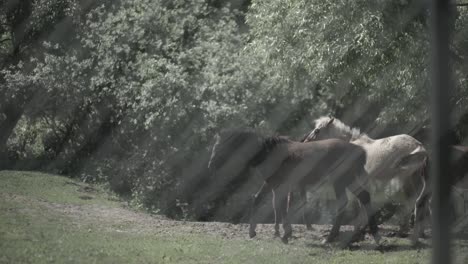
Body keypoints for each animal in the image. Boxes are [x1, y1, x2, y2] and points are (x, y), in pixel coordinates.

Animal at [207, 130, 380, 245]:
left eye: (222, 145)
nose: (211, 165)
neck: (270, 153)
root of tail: (359, 150)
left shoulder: (280, 185)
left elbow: (281, 207)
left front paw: (285, 233)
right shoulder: (273, 185)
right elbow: (264, 201)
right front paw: (254, 232)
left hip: (341, 182)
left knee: (345, 204)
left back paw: (331, 238)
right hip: (348, 181)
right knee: (364, 197)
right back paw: (374, 236)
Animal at [304, 116, 428, 244]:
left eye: (317, 130)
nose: (306, 142)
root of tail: (419, 145)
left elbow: (359, 207)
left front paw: (359, 232)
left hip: (405, 179)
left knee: (412, 201)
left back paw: (404, 231)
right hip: (415, 179)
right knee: (422, 202)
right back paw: (419, 232)